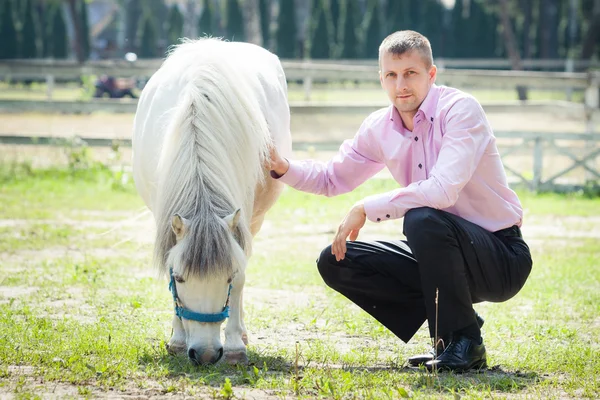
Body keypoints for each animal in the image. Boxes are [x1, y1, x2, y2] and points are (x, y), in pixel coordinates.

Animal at [132, 38, 292, 366]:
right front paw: (177, 339)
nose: (205, 354)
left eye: (227, 276)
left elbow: (242, 276)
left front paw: (234, 345)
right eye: (180, 278)